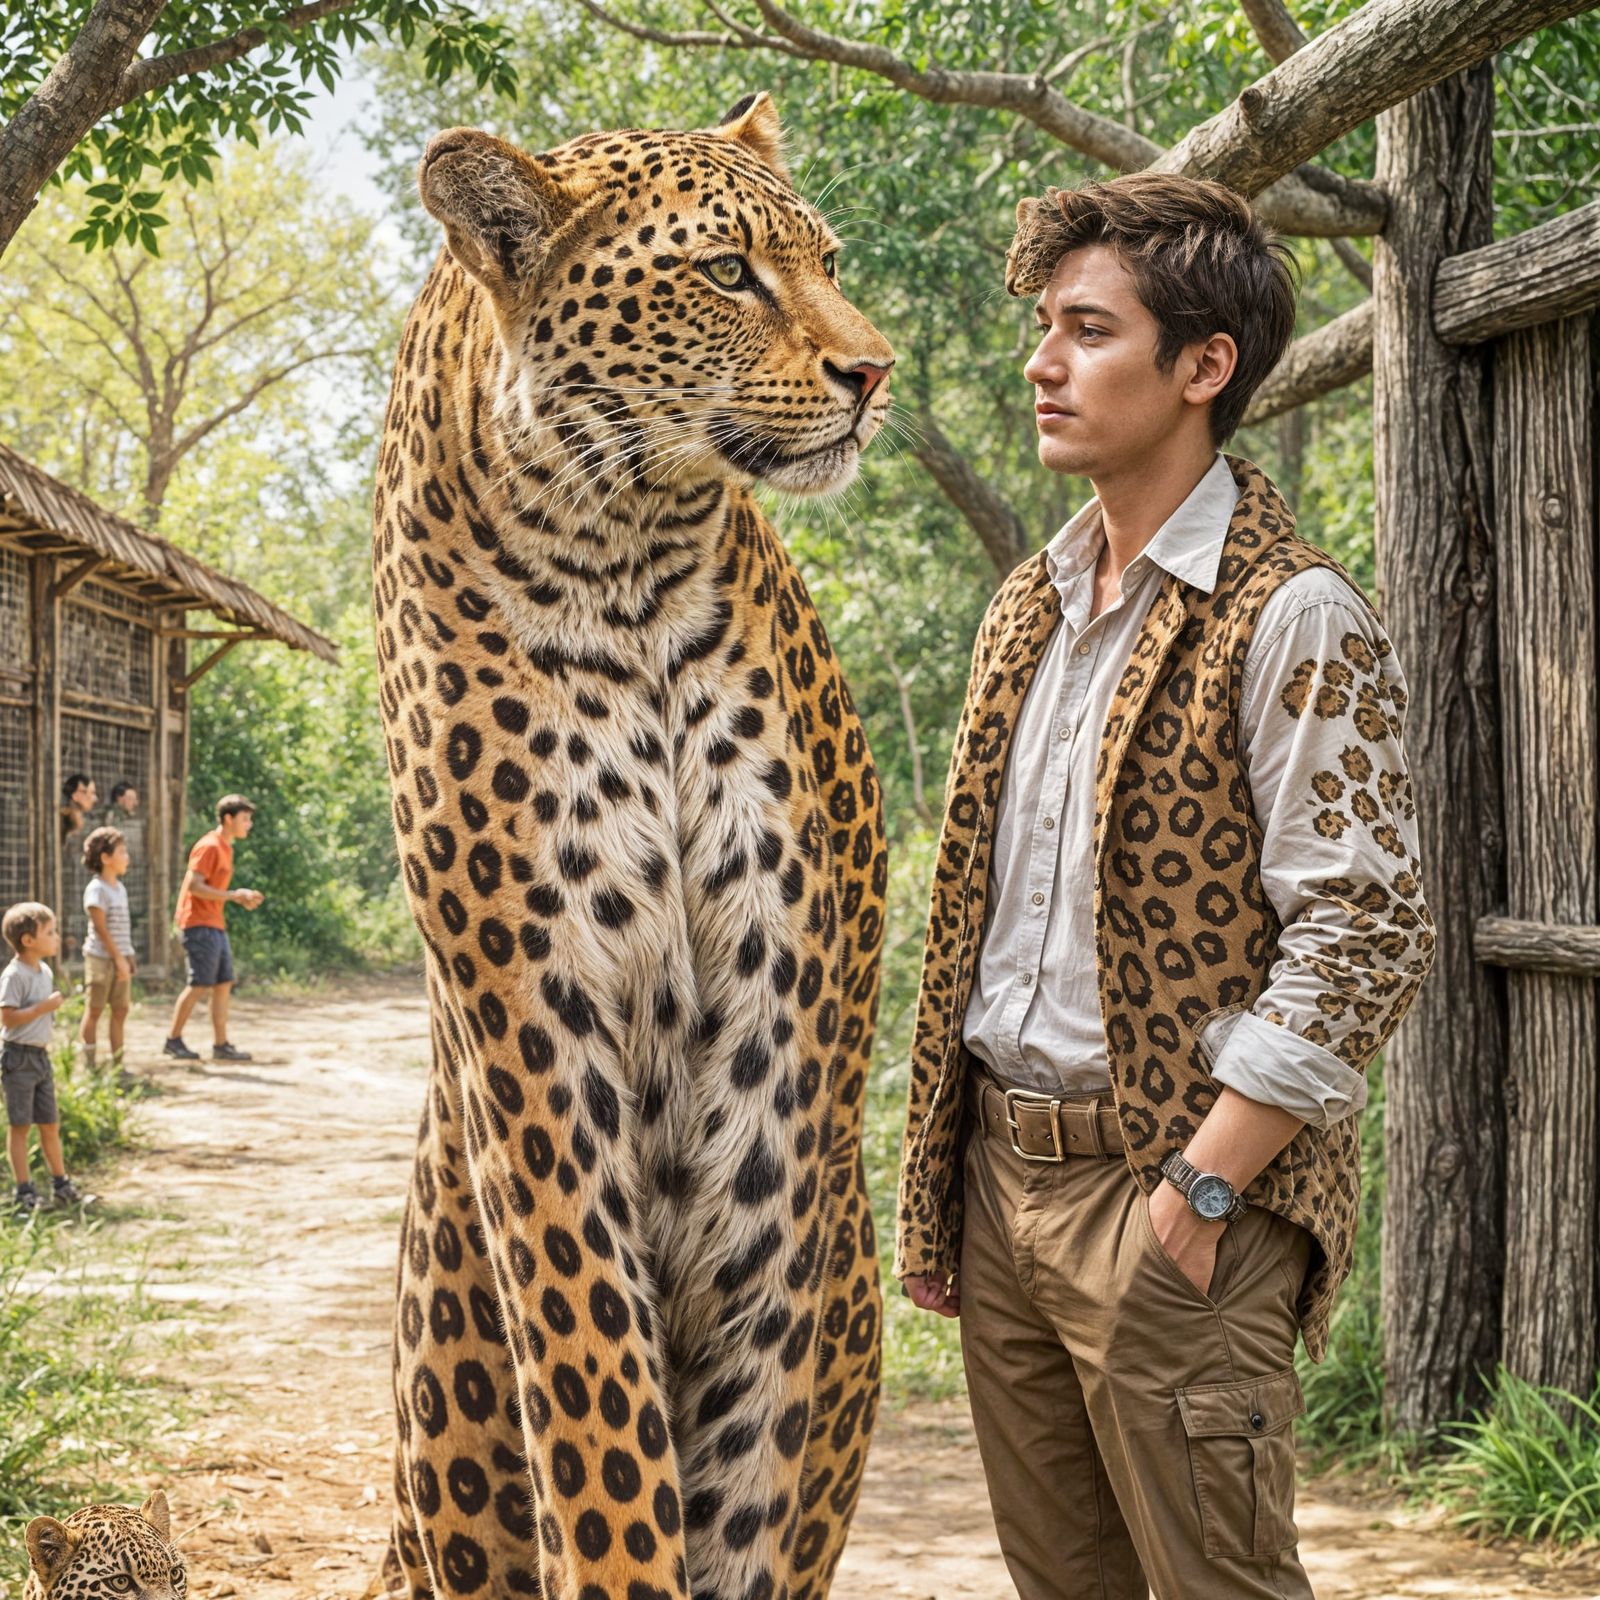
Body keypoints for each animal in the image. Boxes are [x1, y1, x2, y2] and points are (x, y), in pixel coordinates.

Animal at [371, 93, 893, 1600]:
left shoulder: (780, 1027)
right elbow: (599, 1422)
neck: (622, 562)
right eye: (725, 273)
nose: (874, 371)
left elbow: (745, 1448)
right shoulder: (536, 1018)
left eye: (827, 258)